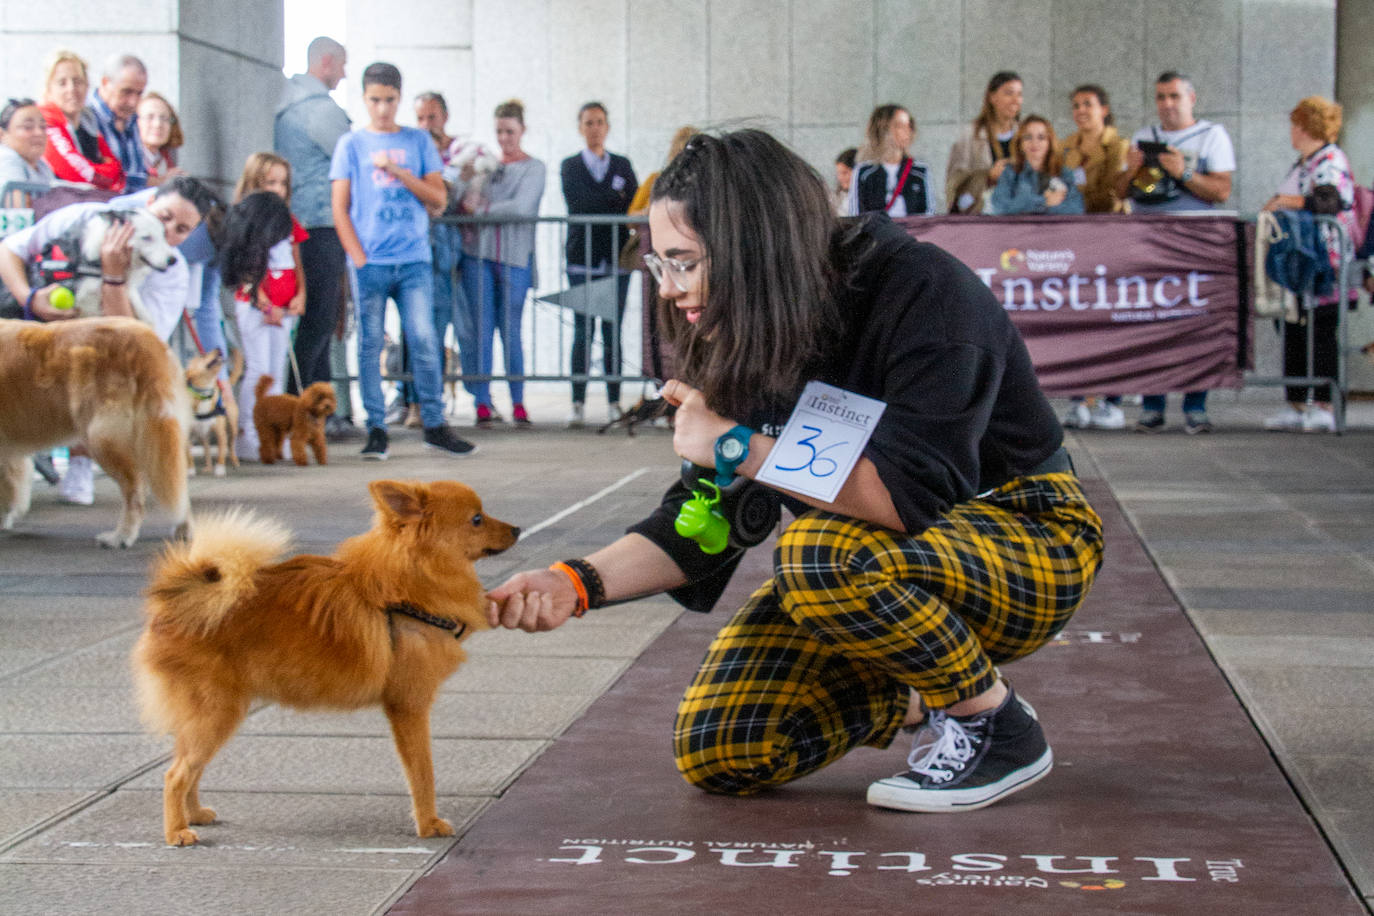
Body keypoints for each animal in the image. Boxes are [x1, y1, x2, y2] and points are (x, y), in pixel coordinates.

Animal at [0, 317, 190, 543]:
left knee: (135, 490)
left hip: (102, 438)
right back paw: (183, 530)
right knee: (177, 485)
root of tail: (147, 343)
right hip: (161, 437)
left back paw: (121, 536)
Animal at [133, 480, 519, 845]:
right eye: (477, 519)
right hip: (216, 713)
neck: (407, 585)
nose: (516, 528)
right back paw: (176, 831)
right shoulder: (409, 707)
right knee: (176, 774)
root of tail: (171, 607)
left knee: (189, 767)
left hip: (212, 716)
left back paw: (194, 815)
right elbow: (423, 773)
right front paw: (428, 824)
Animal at [184, 348, 240, 480]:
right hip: (202, 435)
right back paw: (208, 467)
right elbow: (189, 456)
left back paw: (235, 462)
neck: (204, 394)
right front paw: (190, 470)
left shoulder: (221, 434)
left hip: (232, 426)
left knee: (231, 446)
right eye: (202, 355)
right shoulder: (187, 435)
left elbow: (221, 454)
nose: (218, 348)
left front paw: (220, 470)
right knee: (207, 450)